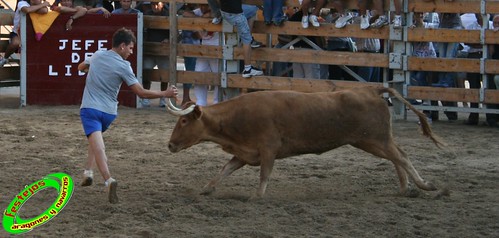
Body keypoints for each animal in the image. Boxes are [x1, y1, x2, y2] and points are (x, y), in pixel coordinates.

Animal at [168, 86, 446, 198]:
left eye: (183, 121)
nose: (170, 145)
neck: (237, 116)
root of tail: (371, 89)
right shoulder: (245, 153)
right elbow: (225, 169)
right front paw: (206, 189)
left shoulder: (268, 149)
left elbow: (265, 174)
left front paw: (257, 196)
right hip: (377, 140)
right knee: (397, 157)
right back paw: (405, 188)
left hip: (373, 140)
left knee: (401, 157)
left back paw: (426, 185)